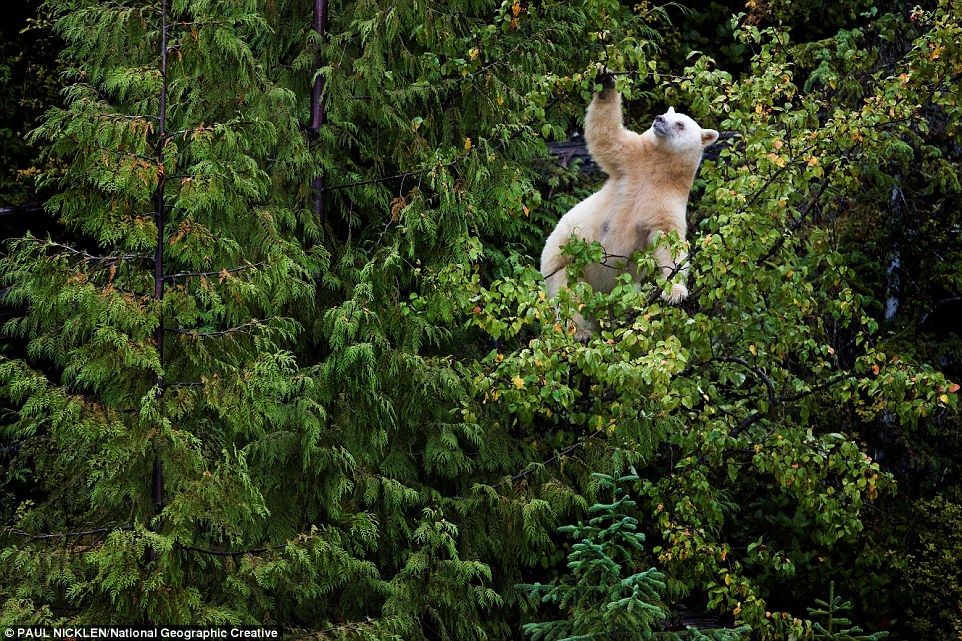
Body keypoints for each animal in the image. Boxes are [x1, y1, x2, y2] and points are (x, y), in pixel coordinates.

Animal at [536, 74, 716, 336]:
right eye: (666, 112)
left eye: (681, 123)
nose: (659, 119)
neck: (657, 169)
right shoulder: (630, 162)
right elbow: (607, 136)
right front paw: (606, 82)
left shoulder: (667, 200)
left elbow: (668, 240)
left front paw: (675, 293)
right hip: (562, 262)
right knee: (569, 295)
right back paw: (579, 332)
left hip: (619, 289)